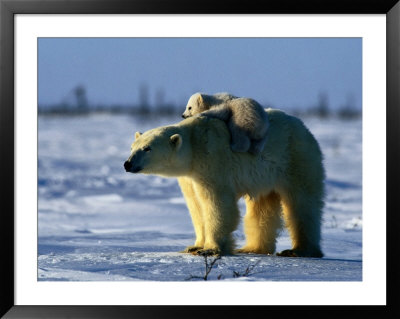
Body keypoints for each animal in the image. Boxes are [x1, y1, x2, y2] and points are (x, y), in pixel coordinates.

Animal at [125, 109, 324, 258]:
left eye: (147, 148)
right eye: (132, 147)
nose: (128, 164)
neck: (194, 145)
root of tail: (304, 127)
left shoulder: (212, 160)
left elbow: (216, 203)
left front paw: (210, 249)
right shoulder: (189, 177)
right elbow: (196, 206)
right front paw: (194, 246)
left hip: (296, 158)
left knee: (303, 203)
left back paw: (299, 250)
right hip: (265, 177)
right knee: (262, 208)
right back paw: (252, 248)